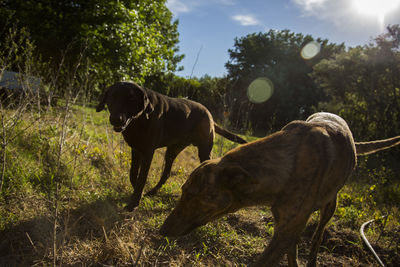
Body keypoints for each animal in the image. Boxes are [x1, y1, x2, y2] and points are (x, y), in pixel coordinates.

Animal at [97, 81, 247, 211]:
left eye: (131, 99)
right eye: (112, 97)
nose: (116, 119)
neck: (139, 119)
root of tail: (209, 115)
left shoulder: (148, 152)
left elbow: (141, 178)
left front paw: (134, 203)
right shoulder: (136, 149)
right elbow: (133, 174)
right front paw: (137, 193)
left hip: (204, 150)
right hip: (172, 150)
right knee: (166, 173)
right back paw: (152, 192)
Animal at [159, 112, 400, 267]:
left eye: (192, 195)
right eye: (183, 191)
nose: (161, 231)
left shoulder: (286, 231)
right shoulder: (285, 228)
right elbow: (290, 254)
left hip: (330, 205)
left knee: (318, 235)